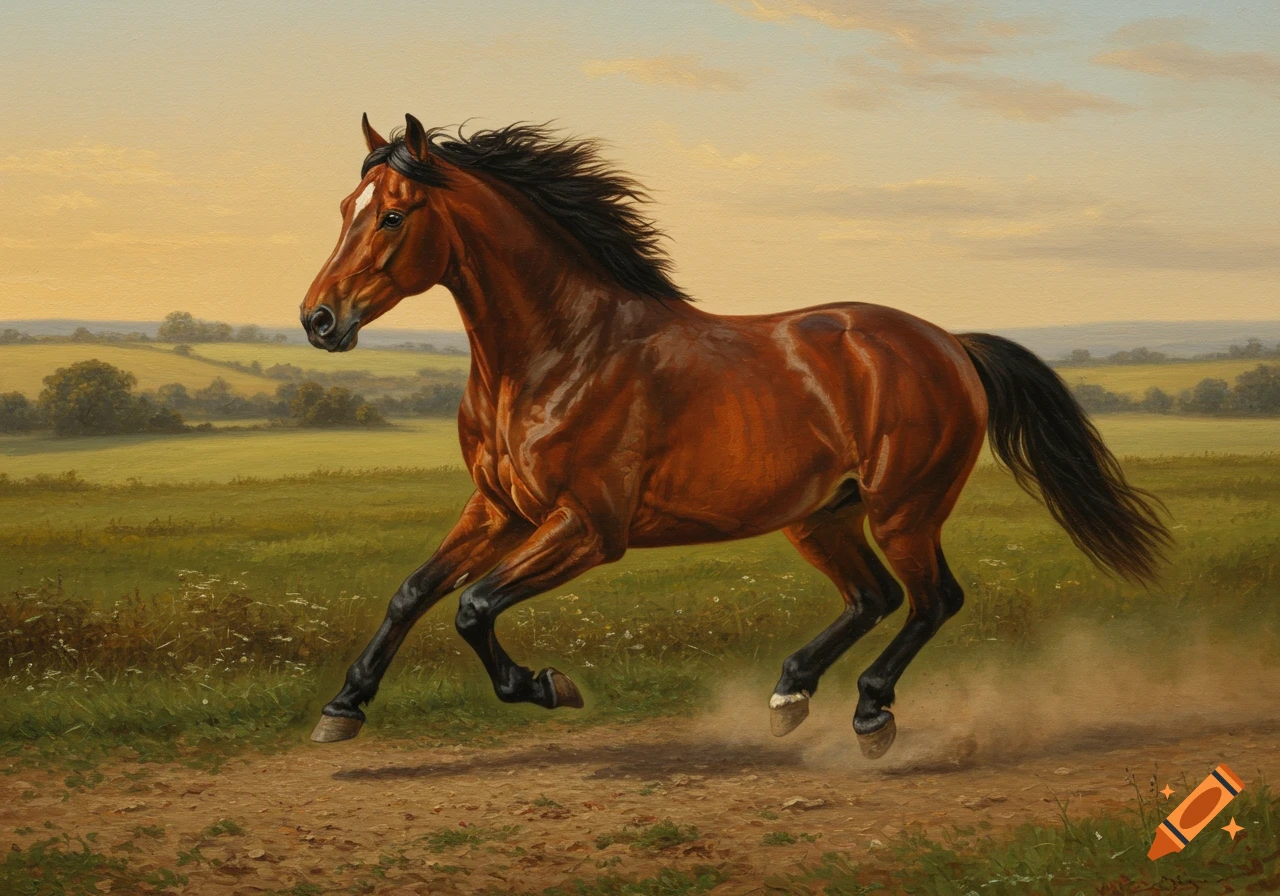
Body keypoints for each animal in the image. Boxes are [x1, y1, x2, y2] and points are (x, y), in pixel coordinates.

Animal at [300, 114, 1169, 758]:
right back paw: (790, 692)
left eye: (393, 215)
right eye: (344, 209)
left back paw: (871, 714)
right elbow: (414, 591)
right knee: (875, 596)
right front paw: (343, 707)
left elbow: (474, 606)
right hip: (821, 516)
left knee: (933, 599)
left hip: (905, 509)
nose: (318, 320)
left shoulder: (588, 527)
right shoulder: (498, 510)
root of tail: (949, 343)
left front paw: (550, 686)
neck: (557, 352)